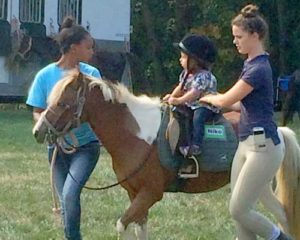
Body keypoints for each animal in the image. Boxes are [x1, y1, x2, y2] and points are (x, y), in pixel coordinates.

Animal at [32, 71, 300, 240]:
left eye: (63, 103)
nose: (38, 131)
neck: (138, 136)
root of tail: (277, 130)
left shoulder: (150, 193)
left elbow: (122, 225)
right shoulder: (135, 194)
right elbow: (139, 229)